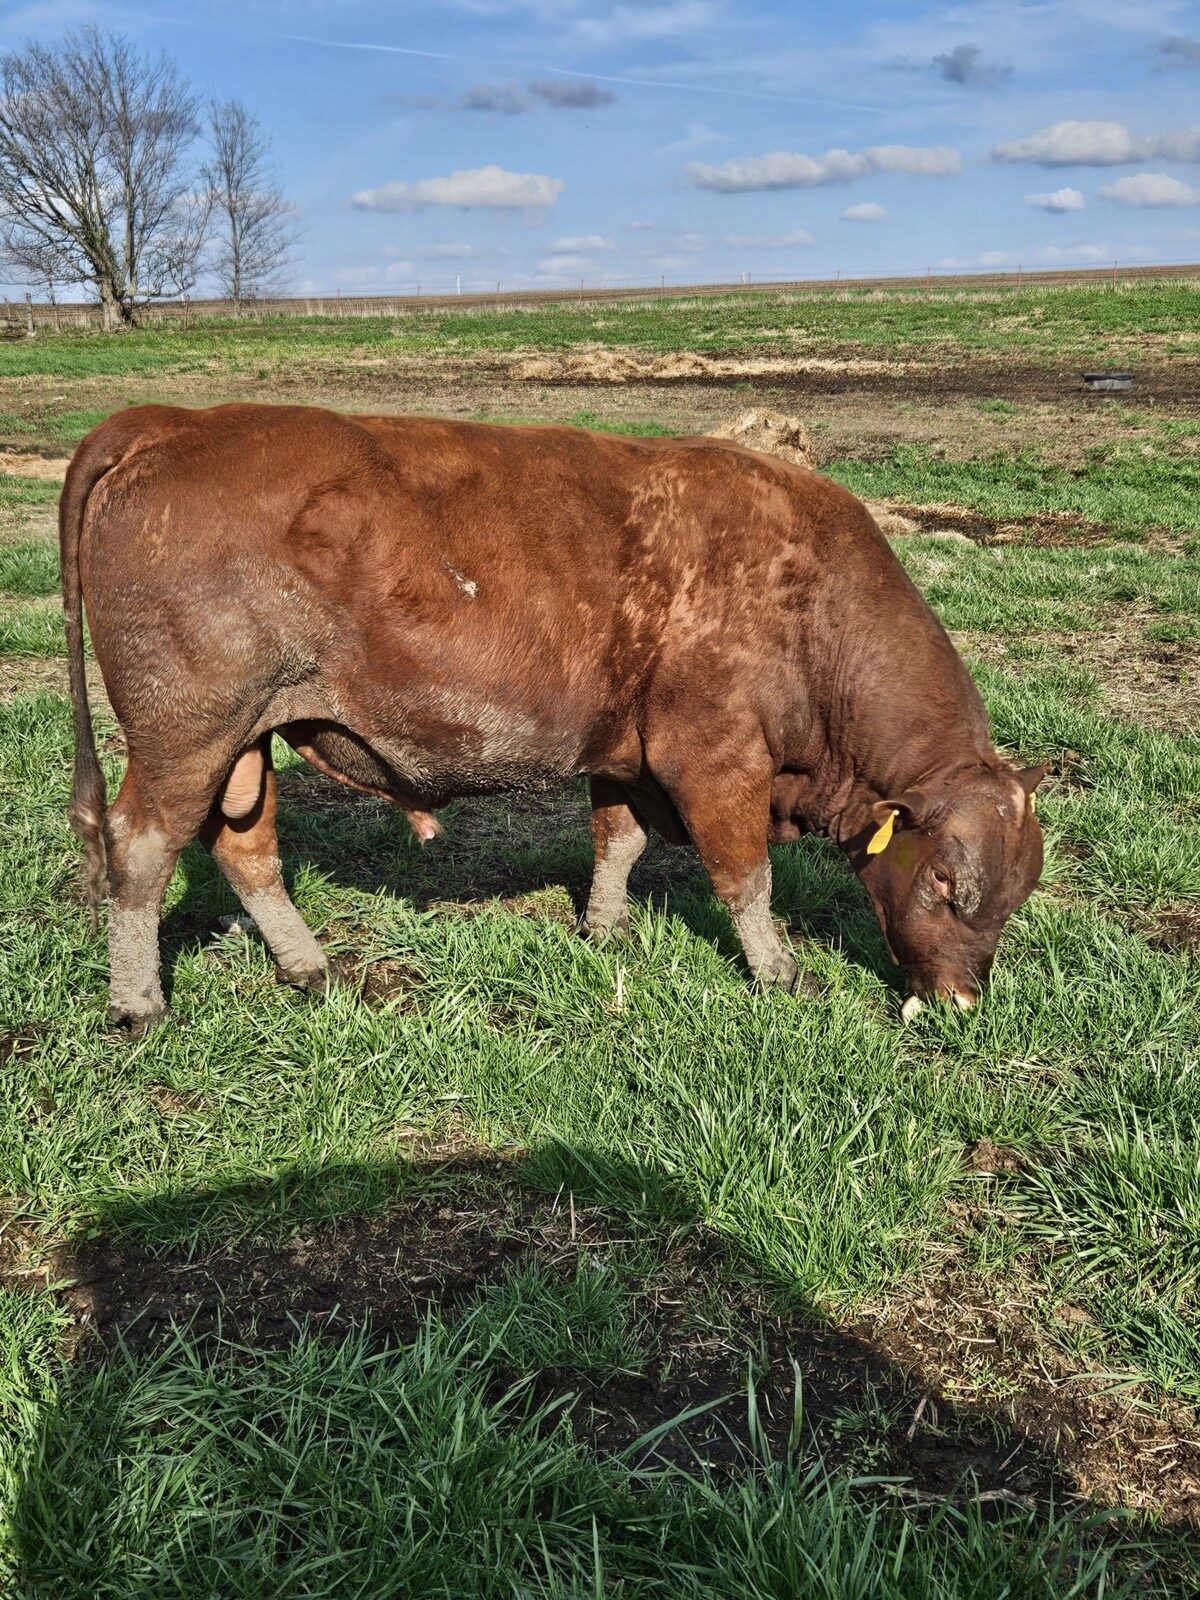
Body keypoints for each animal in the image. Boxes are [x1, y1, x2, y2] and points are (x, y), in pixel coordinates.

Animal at [60, 404, 1045, 1036]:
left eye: (1016, 897)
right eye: (945, 883)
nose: (963, 1003)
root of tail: (170, 420)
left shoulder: (624, 750)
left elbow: (617, 840)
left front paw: (604, 929)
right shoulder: (717, 758)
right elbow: (747, 879)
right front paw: (781, 973)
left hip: (246, 740)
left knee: (245, 846)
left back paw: (310, 969)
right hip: (187, 732)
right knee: (140, 849)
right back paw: (139, 1005)